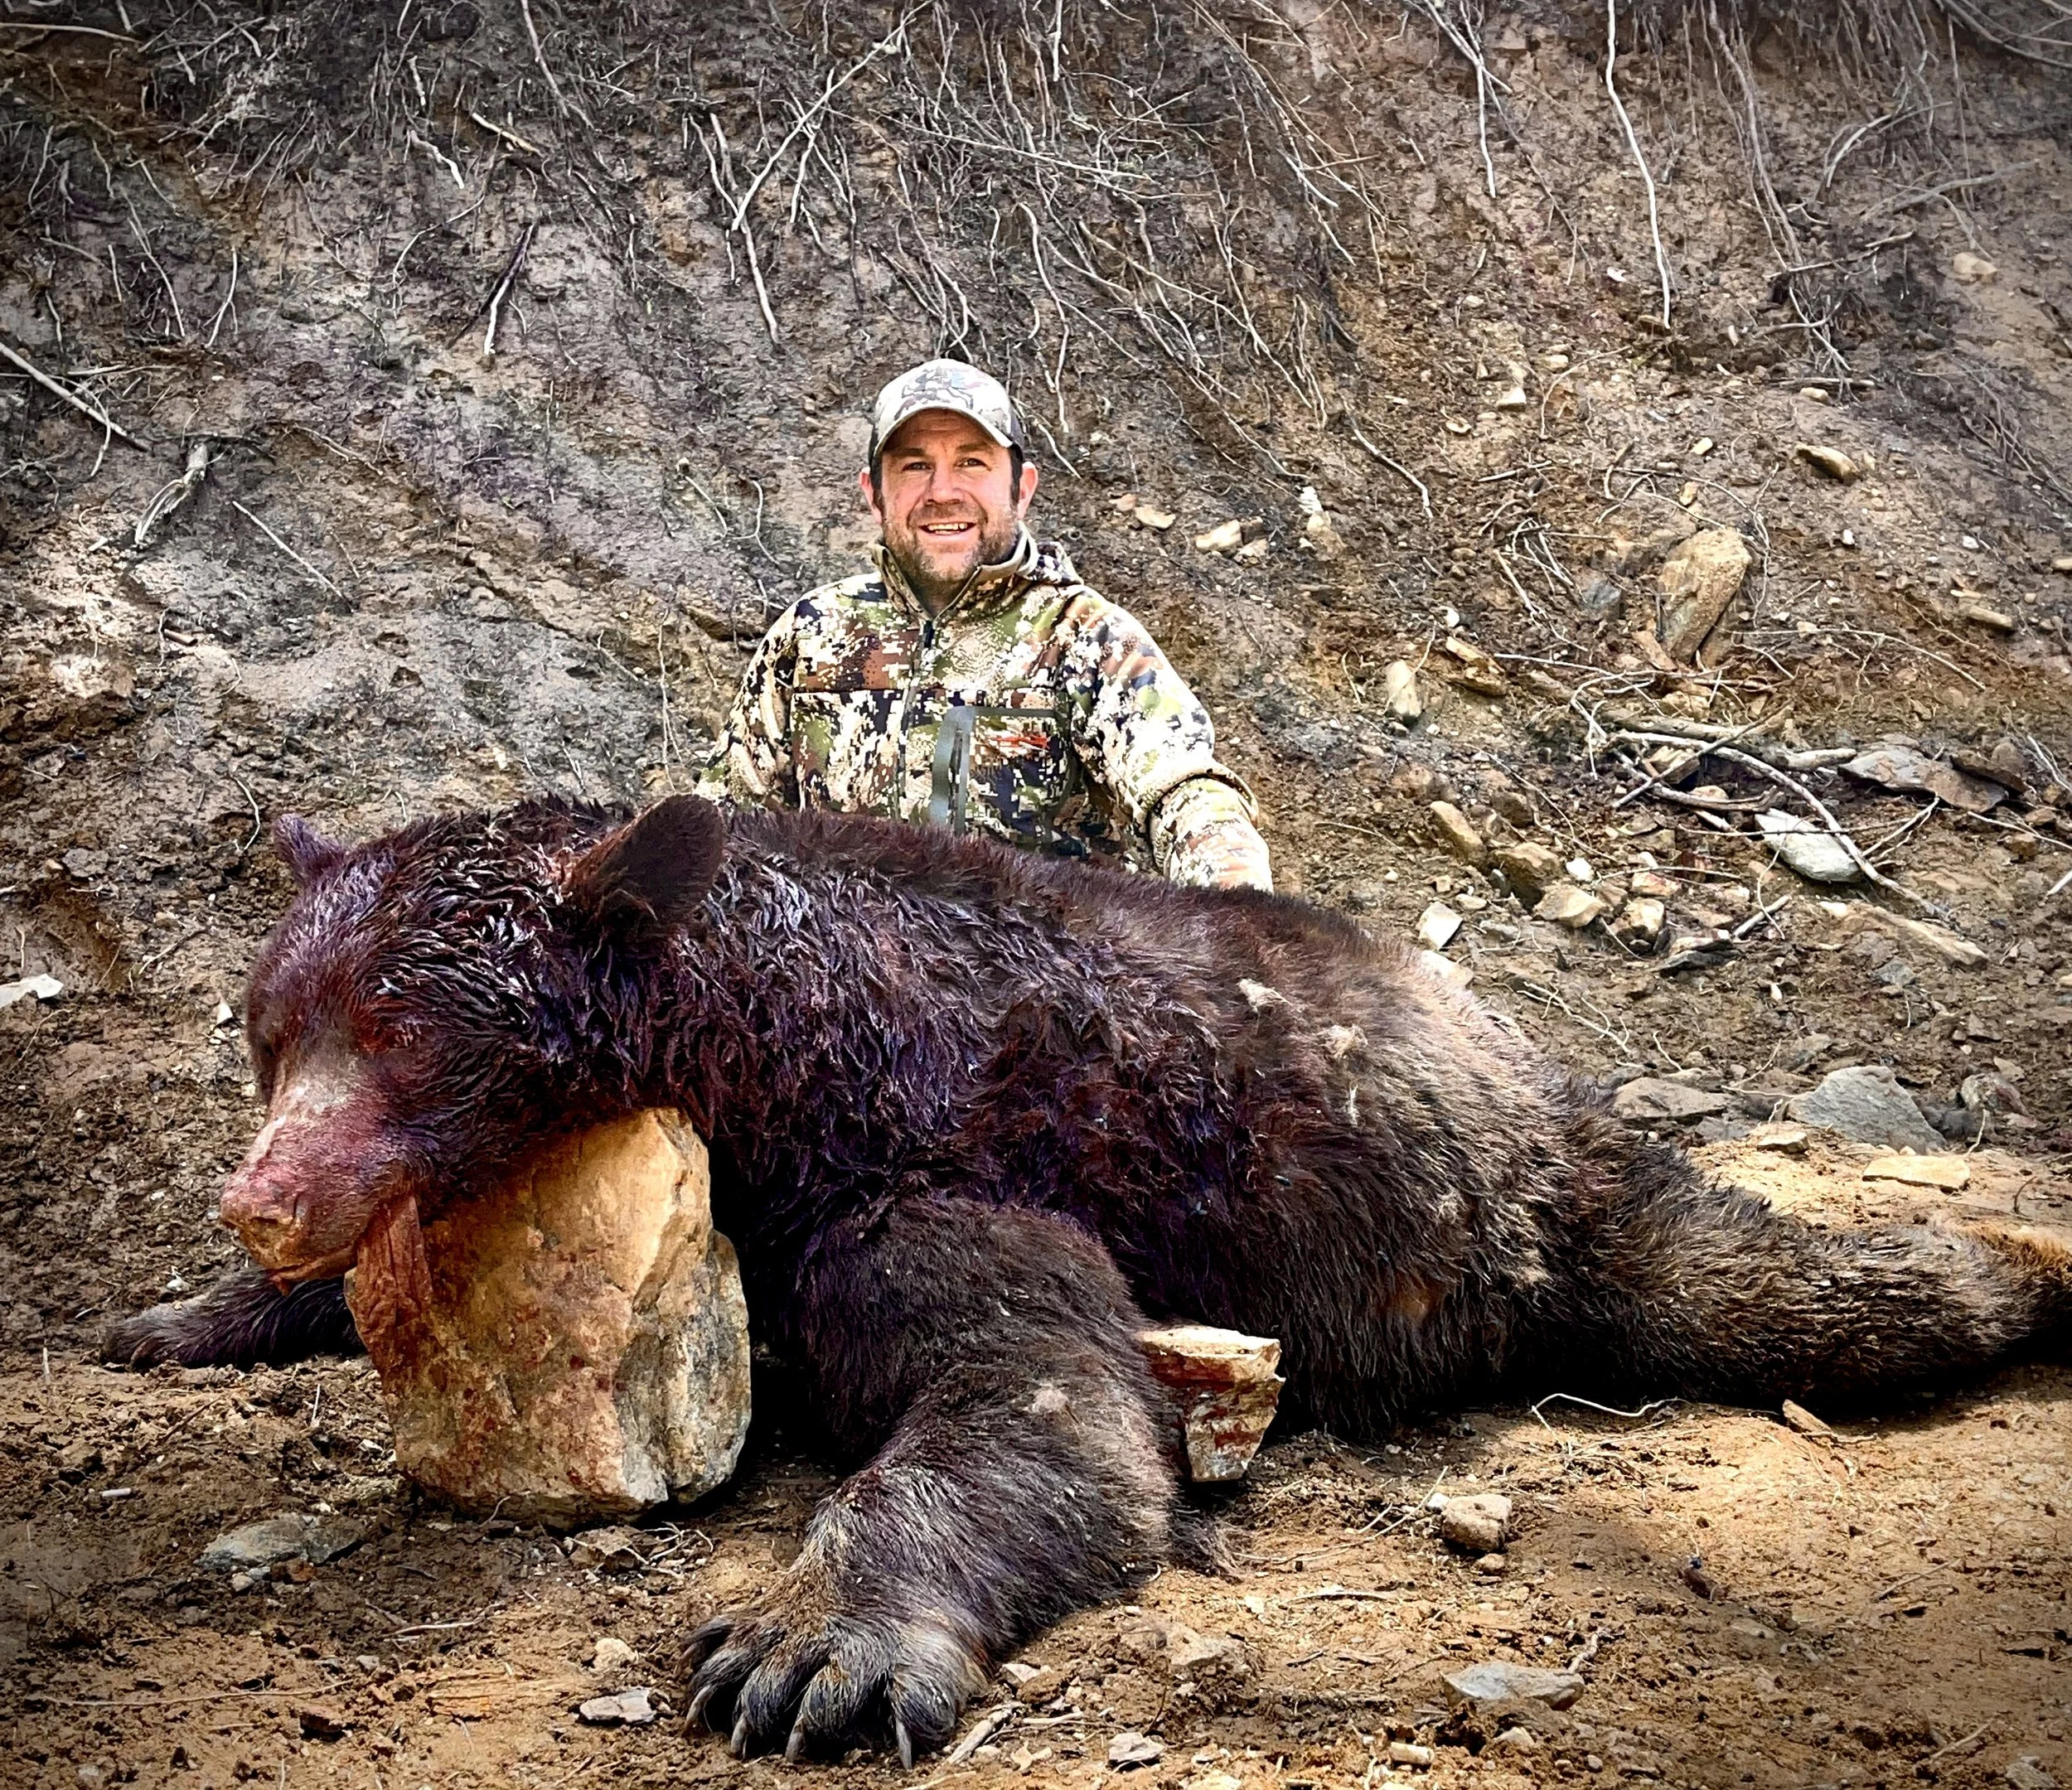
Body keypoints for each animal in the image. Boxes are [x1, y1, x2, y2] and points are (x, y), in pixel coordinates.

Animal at [106, 794, 2070, 1764]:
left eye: (401, 1036)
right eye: (270, 1030)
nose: (258, 1199)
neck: (779, 1033)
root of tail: (1503, 1034)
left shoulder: (928, 1173)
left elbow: (1034, 1405)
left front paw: (813, 1644)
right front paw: (178, 1315)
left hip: (1527, 1203)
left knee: (1773, 1284)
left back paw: (2015, 1267)